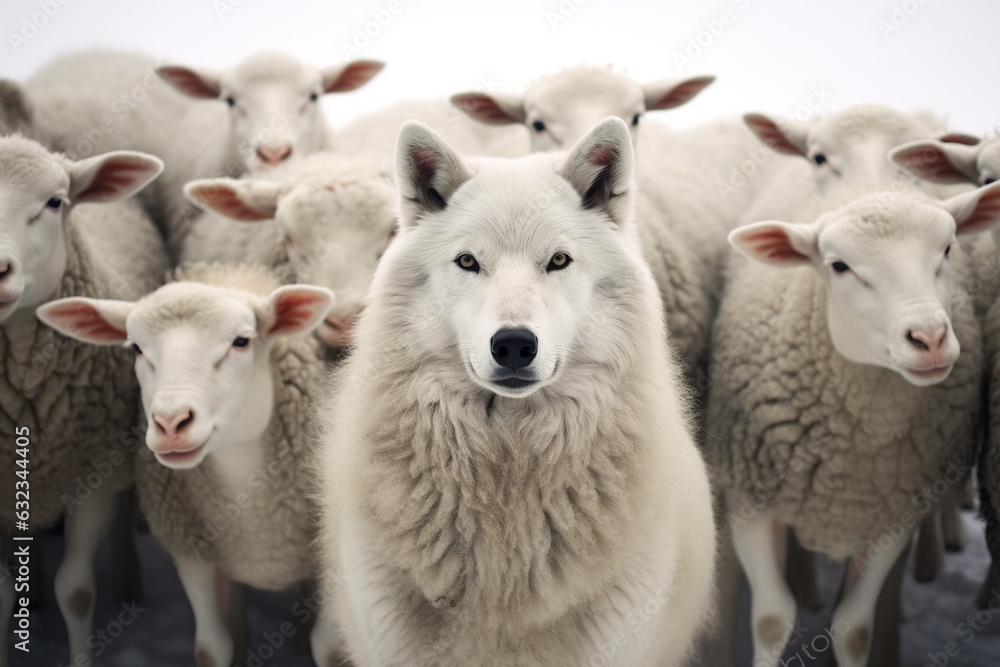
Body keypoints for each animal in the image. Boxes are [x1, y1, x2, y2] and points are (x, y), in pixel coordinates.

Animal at [37, 263, 339, 667]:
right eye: (136, 348)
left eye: (241, 342)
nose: (170, 423)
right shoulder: (193, 553)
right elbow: (211, 647)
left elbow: (331, 648)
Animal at [705, 180, 1000, 667]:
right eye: (839, 266)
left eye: (948, 248)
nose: (930, 338)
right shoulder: (749, 498)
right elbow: (771, 619)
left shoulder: (891, 515)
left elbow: (853, 627)